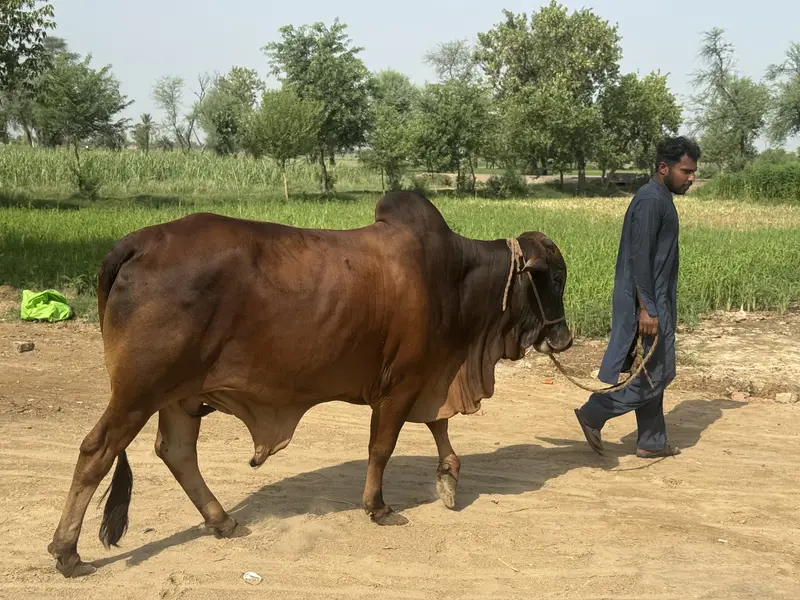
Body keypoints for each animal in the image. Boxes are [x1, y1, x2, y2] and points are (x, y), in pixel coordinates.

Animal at [47, 190, 573, 578]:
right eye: (554, 278)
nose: (564, 337)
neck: (457, 278)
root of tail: (140, 241)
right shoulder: (401, 383)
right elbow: (382, 447)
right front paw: (378, 507)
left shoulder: (428, 377)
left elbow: (439, 428)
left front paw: (448, 476)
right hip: (139, 390)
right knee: (97, 451)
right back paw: (67, 552)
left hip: (181, 393)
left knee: (176, 451)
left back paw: (222, 520)